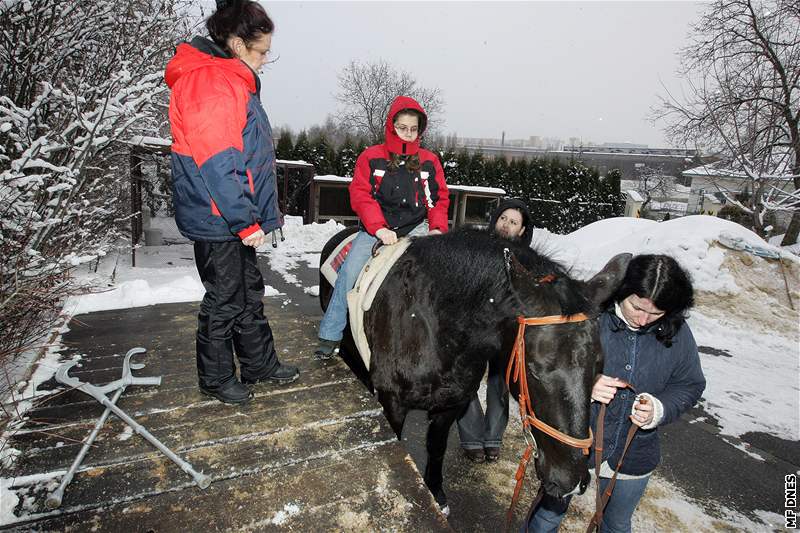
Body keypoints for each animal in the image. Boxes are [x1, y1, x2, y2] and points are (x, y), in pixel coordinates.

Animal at [320, 227, 632, 512]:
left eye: (598, 367)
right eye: (534, 369)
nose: (571, 480)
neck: (432, 324)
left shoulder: (450, 404)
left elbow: (436, 447)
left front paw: (437, 494)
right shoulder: (392, 402)